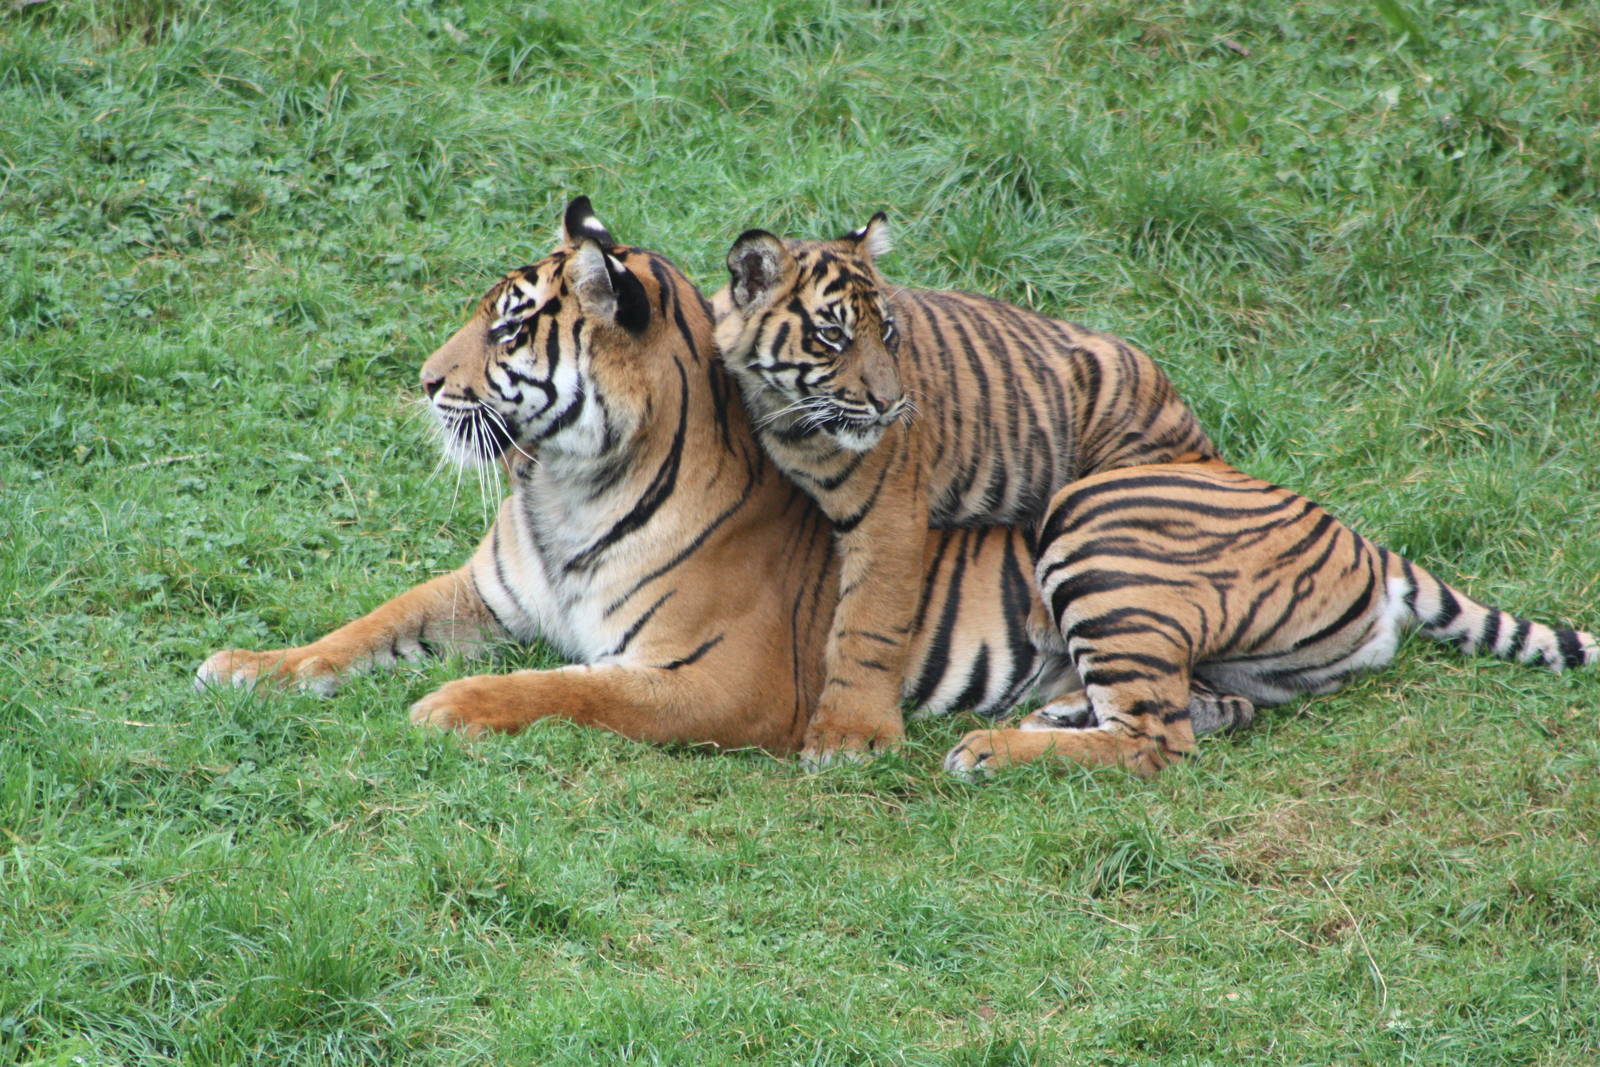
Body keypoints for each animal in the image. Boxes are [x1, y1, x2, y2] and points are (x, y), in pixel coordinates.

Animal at [196, 198, 1071, 747]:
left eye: (507, 329)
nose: (425, 379)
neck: (564, 487)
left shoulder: (728, 677)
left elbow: (571, 686)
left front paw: (452, 702)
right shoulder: (487, 592)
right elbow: (365, 625)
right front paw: (249, 666)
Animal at [713, 215, 1216, 764]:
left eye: (886, 331)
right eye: (831, 336)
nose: (890, 404)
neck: (786, 417)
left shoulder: (889, 514)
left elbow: (869, 624)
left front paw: (851, 734)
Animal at [943, 458, 1599, 779]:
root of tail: (1364, 542)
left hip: (1091, 534)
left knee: (1154, 741)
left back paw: (987, 751)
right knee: (1217, 705)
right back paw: (1053, 714)